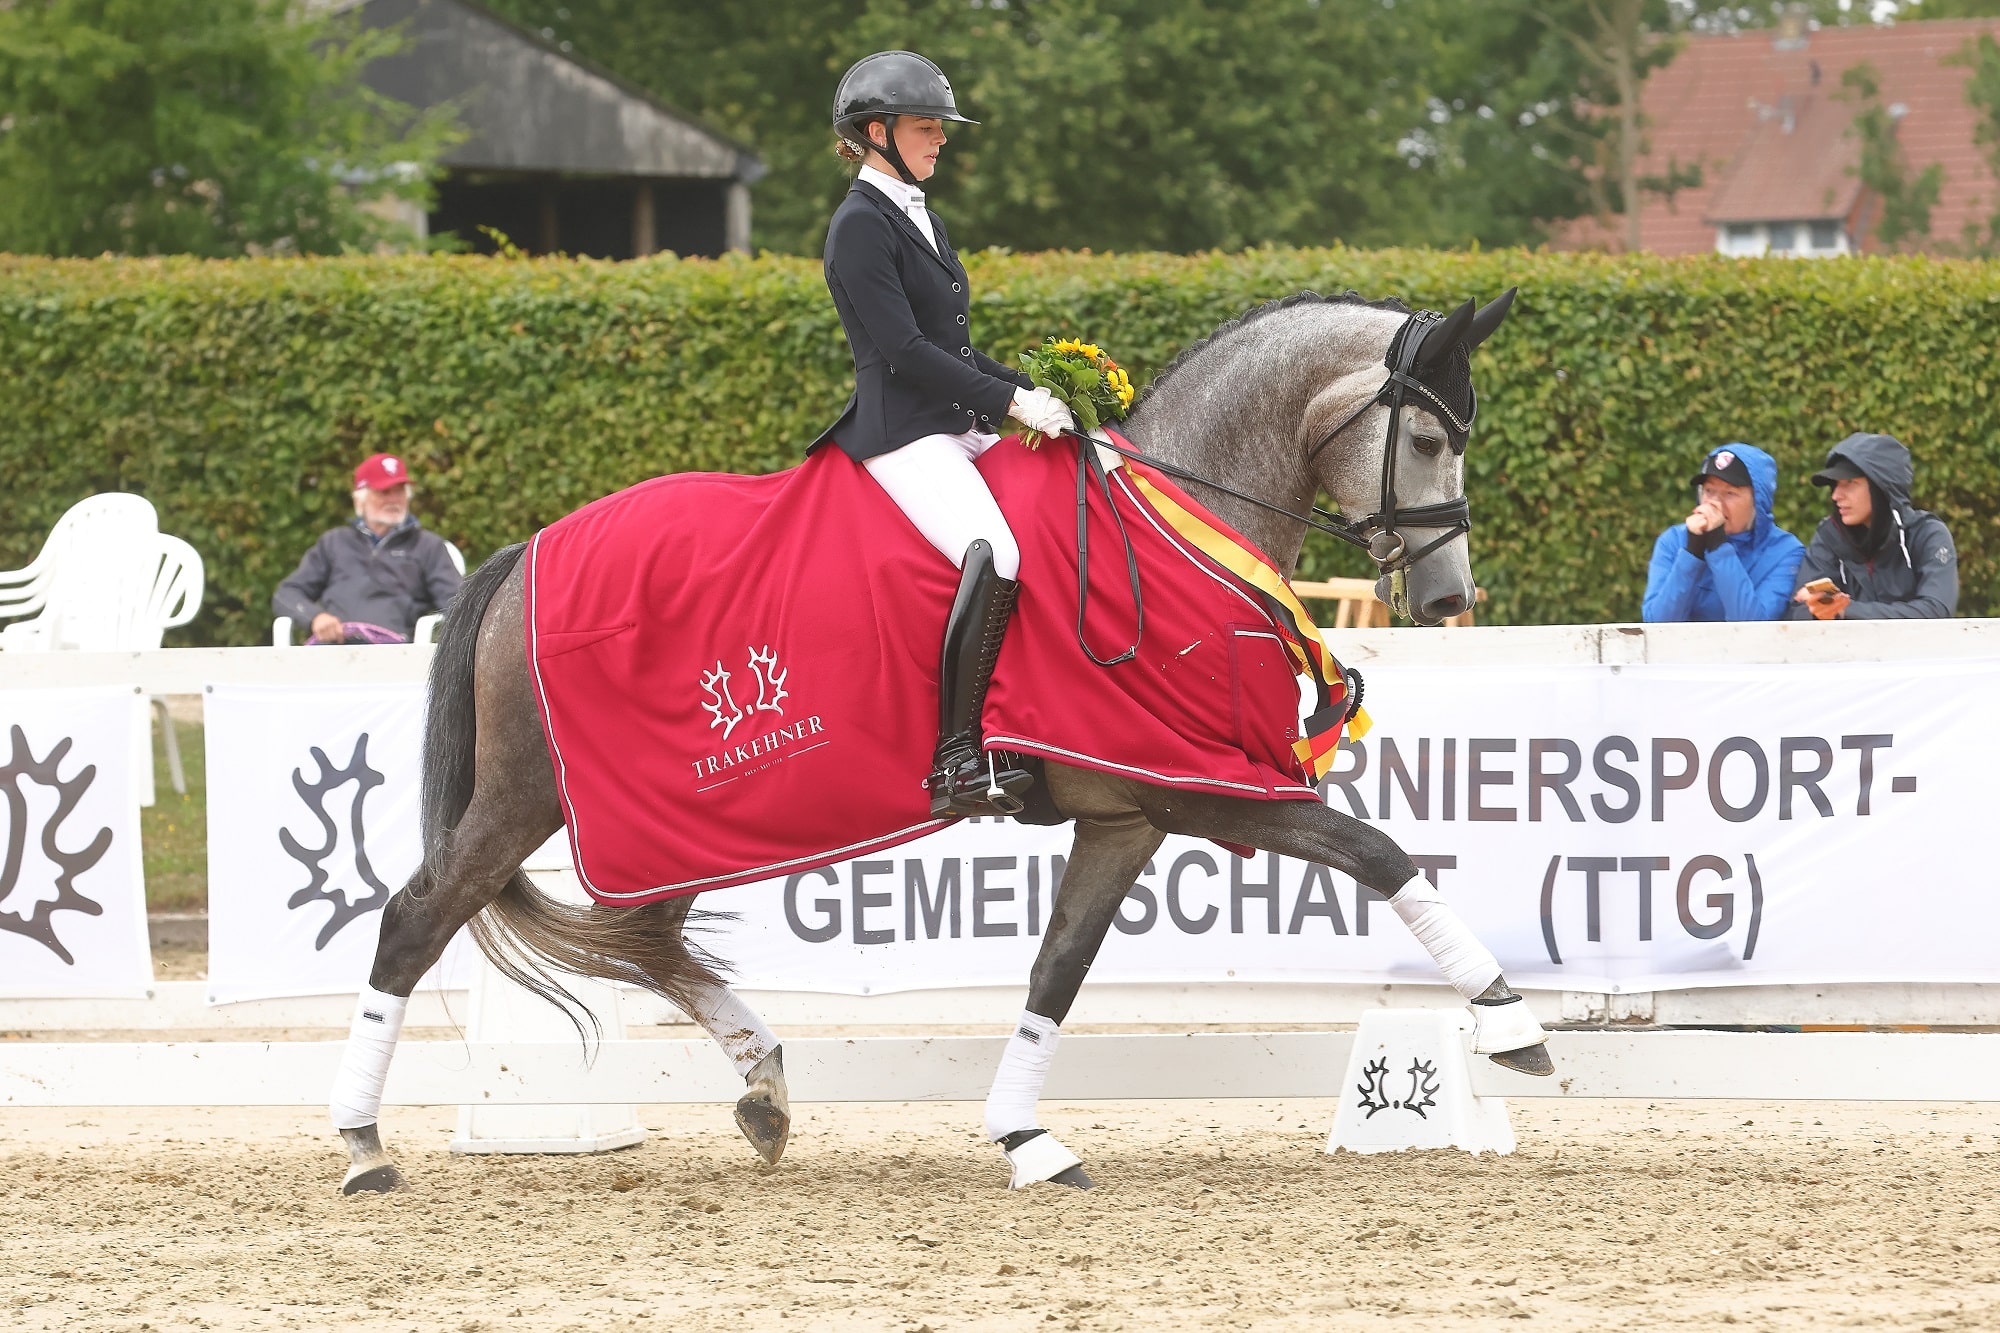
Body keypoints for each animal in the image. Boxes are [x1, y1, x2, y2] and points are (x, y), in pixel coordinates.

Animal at [332, 288, 1544, 1192]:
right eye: (1426, 438)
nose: (1449, 597)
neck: (1167, 524)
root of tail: (523, 555)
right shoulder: (1206, 787)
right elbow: (1377, 851)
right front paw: (1508, 1020)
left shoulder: (1128, 812)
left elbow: (1058, 966)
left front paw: (1026, 1136)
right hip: (532, 797)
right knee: (418, 919)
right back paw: (360, 1146)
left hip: (669, 815)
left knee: (648, 937)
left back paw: (764, 1086)